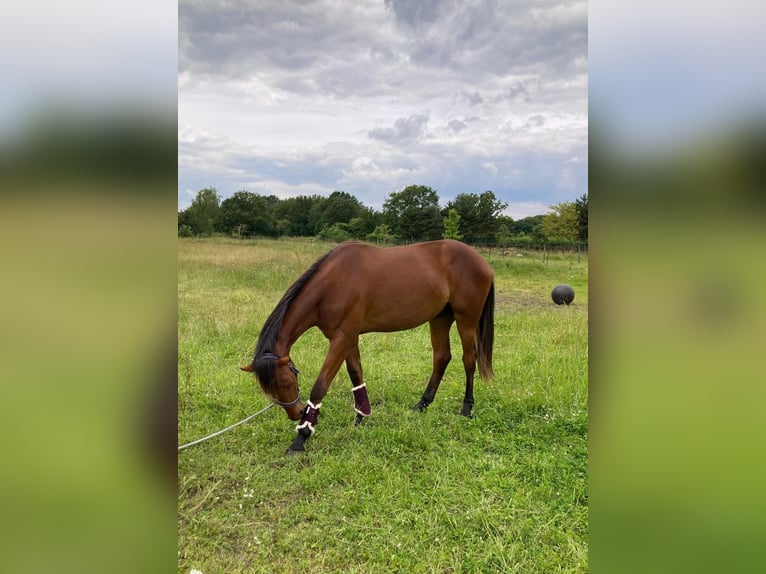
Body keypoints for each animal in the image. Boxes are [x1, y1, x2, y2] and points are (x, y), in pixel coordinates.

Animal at [243, 240, 500, 454]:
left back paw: (466, 408)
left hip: (466, 320)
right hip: (440, 318)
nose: (294, 413)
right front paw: (361, 416)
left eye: (287, 382)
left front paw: (302, 436)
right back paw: (422, 405)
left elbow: (320, 387)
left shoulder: (342, 338)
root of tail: (482, 262)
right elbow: (356, 374)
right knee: (441, 357)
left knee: (469, 360)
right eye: (270, 388)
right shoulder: (348, 338)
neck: (334, 282)